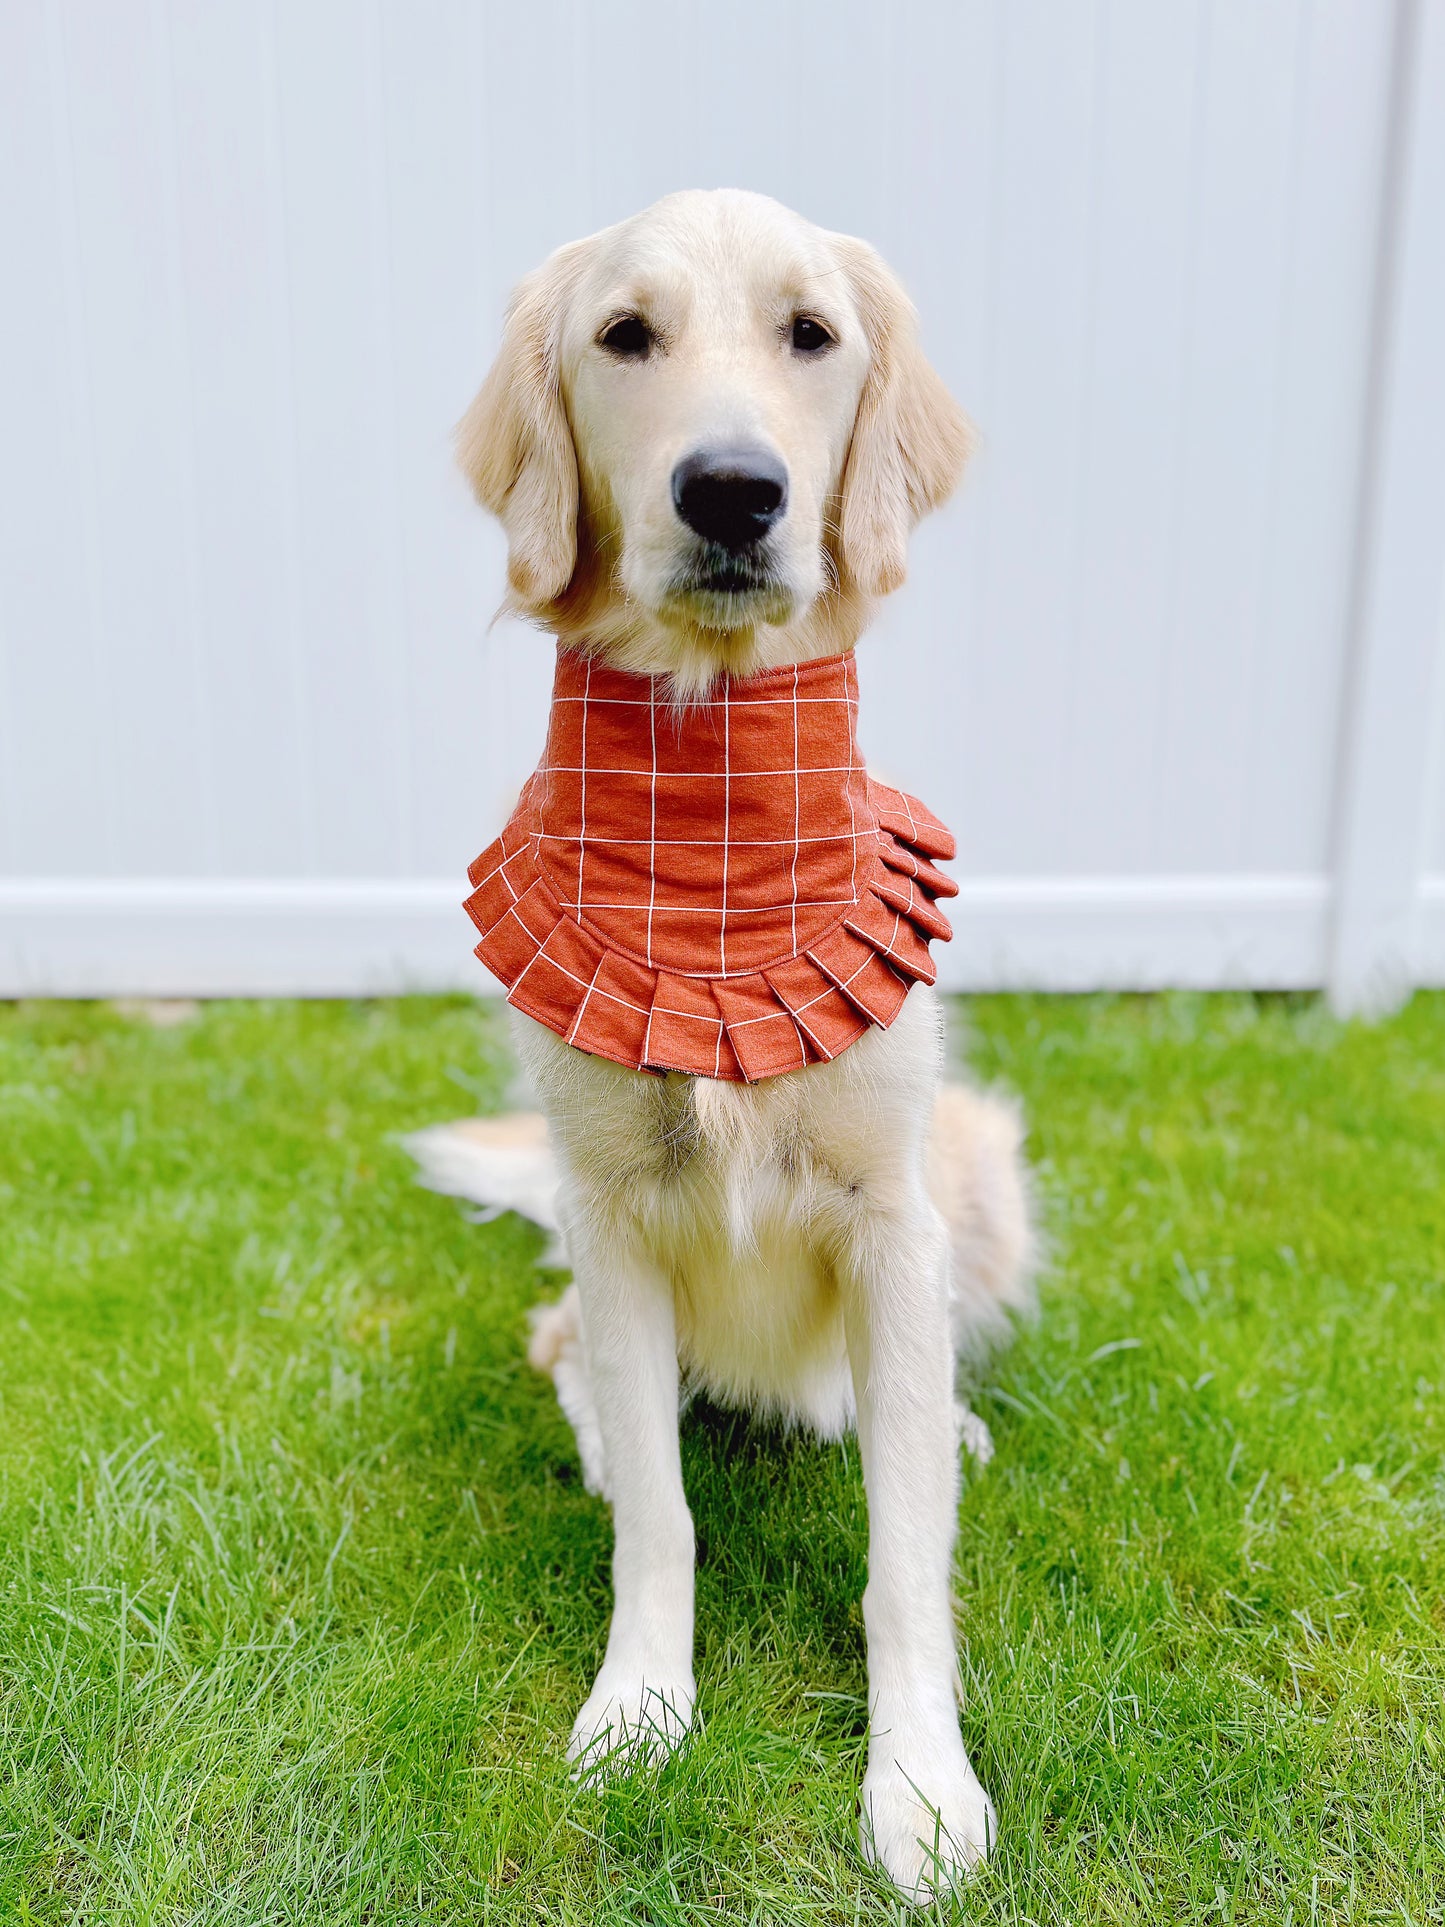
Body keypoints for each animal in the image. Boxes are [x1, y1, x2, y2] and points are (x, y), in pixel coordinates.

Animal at [429, 195, 1040, 1896]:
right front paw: (638, 1710)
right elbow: (661, 1516)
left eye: (809, 333)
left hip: (981, 1163)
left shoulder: (894, 1215)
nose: (730, 489)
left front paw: (918, 1784)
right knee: (561, 1349)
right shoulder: (613, 1212)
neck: (709, 846)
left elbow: (906, 1558)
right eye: (623, 335)